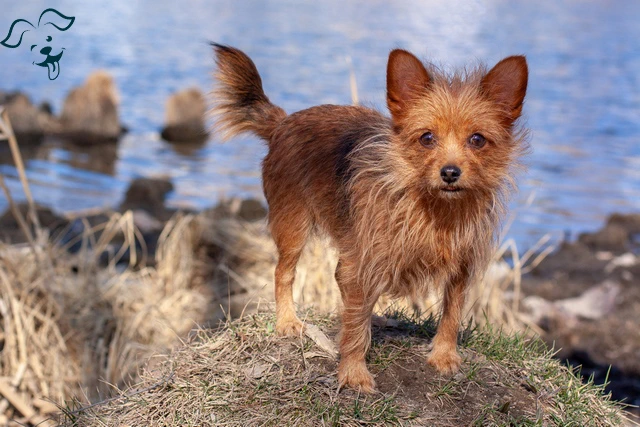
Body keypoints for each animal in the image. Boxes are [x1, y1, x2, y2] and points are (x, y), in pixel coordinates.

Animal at [210, 41, 524, 392]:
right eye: (427, 138)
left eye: (477, 140)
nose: (450, 173)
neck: (431, 207)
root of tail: (283, 122)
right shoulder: (363, 264)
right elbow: (355, 323)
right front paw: (353, 372)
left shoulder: (461, 265)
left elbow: (452, 312)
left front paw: (443, 355)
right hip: (293, 226)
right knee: (284, 273)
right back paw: (288, 321)